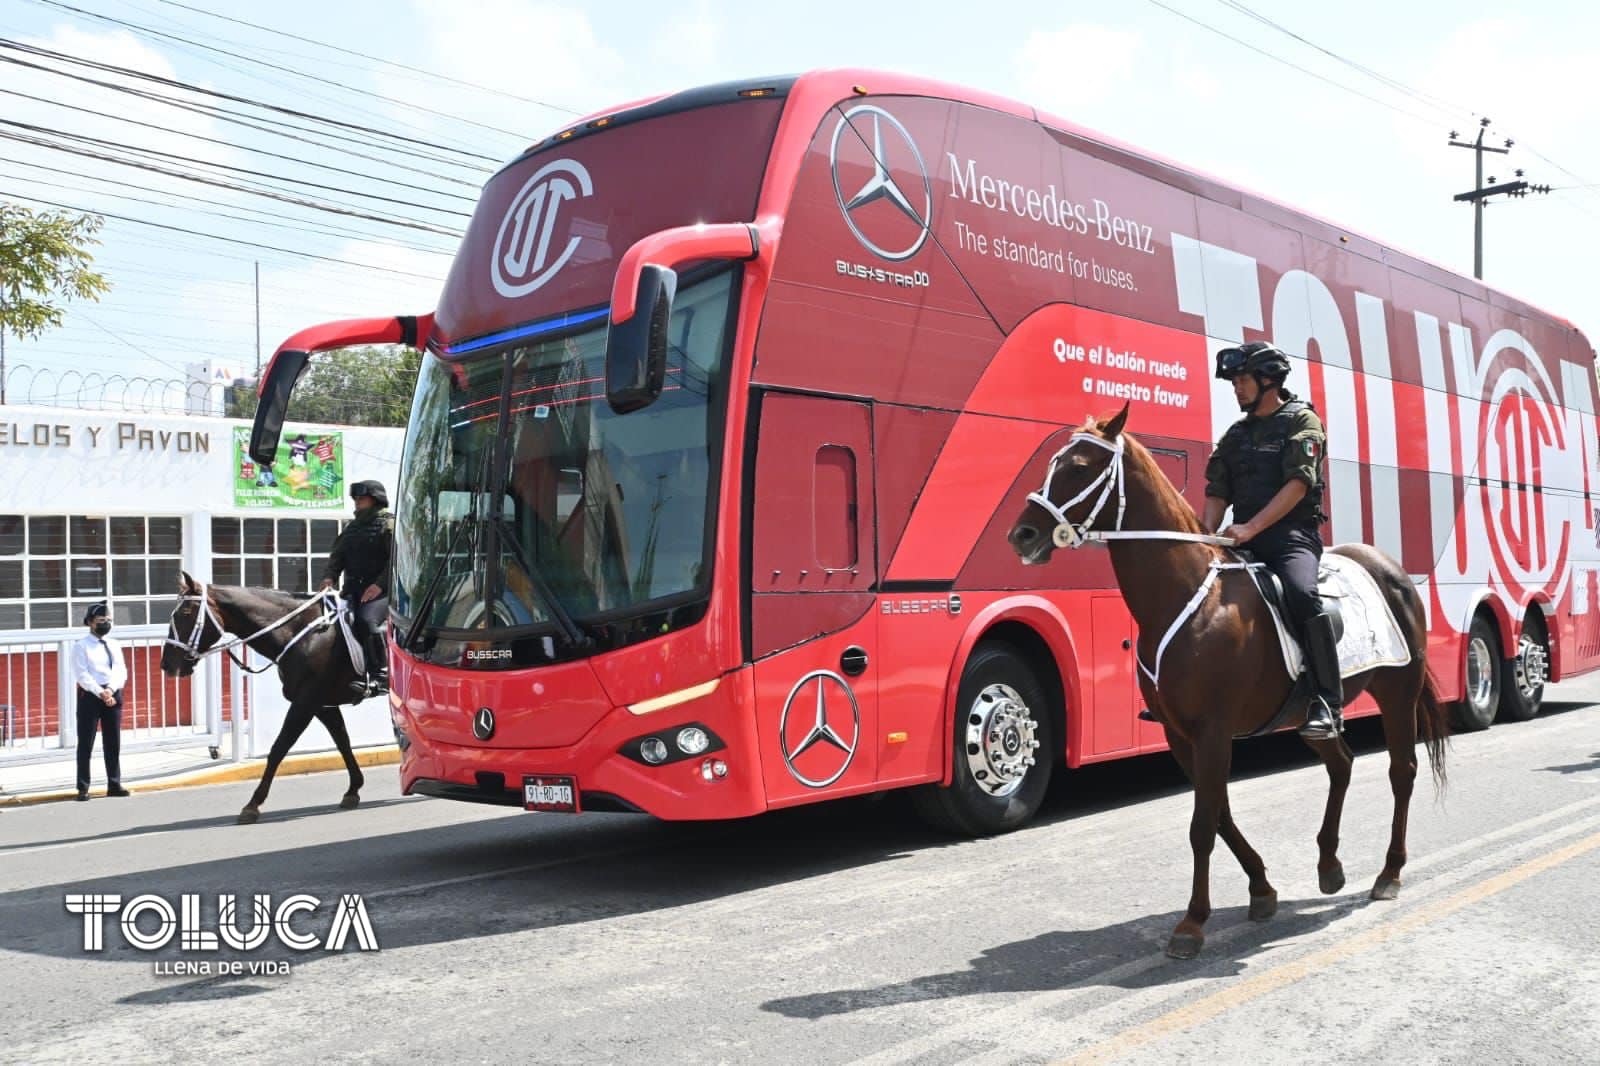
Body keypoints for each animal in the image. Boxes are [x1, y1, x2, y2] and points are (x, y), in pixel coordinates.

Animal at [1004, 403, 1446, 960]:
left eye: (1080, 466)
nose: (1023, 535)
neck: (1187, 596)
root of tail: (1389, 567)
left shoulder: (1214, 730)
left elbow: (1202, 825)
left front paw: (1192, 924)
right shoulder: (1182, 735)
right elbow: (1218, 814)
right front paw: (1261, 889)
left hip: (1397, 693)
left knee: (1401, 771)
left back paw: (1389, 872)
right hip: (1308, 715)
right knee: (1341, 765)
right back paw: (1329, 867)